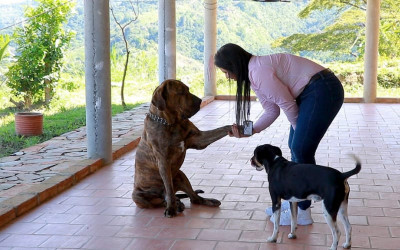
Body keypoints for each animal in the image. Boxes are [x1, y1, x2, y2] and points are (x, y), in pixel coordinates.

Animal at [133, 79, 230, 217]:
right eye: (181, 92)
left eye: (188, 89)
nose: (199, 101)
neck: (170, 123)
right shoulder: (163, 161)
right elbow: (168, 188)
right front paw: (171, 208)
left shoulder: (199, 139)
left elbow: (220, 130)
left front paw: (236, 127)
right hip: (139, 196)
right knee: (163, 199)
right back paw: (176, 204)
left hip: (180, 175)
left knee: (194, 198)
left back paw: (207, 201)